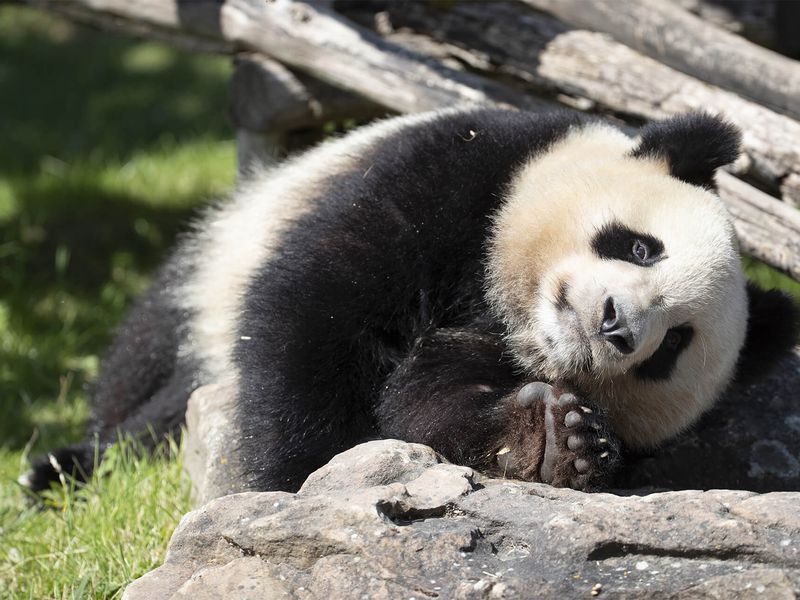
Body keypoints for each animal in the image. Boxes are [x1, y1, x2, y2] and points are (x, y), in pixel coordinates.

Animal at [25, 106, 800, 492]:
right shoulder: (465, 175)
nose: (613, 326)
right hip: (217, 259)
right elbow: (317, 317)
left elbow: (422, 405)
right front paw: (294, 481)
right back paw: (63, 468)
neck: (508, 316)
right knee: (149, 378)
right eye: (640, 247)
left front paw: (559, 439)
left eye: (671, 346)